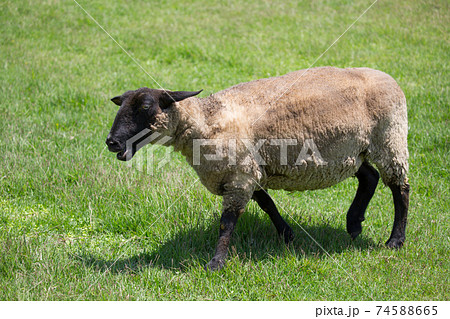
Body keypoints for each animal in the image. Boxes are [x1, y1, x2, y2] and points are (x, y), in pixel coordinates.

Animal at [107, 66, 410, 272]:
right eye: (121, 105)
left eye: (146, 106)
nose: (112, 142)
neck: (206, 122)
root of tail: (388, 77)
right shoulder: (247, 172)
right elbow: (267, 204)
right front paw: (287, 235)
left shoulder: (240, 176)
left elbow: (227, 222)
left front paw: (216, 262)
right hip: (351, 151)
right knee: (370, 177)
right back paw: (354, 223)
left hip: (389, 139)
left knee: (400, 188)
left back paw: (395, 240)